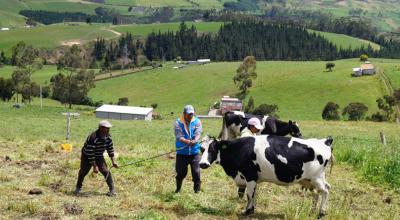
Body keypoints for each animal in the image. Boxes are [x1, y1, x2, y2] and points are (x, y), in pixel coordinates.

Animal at [198, 135, 332, 216]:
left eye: (213, 149)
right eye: (201, 149)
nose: (202, 164)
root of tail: (324, 141)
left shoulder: (250, 176)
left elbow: (249, 195)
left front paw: (247, 211)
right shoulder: (252, 179)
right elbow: (253, 195)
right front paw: (251, 209)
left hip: (317, 177)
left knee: (325, 190)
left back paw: (321, 212)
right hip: (310, 180)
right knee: (316, 193)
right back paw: (312, 211)